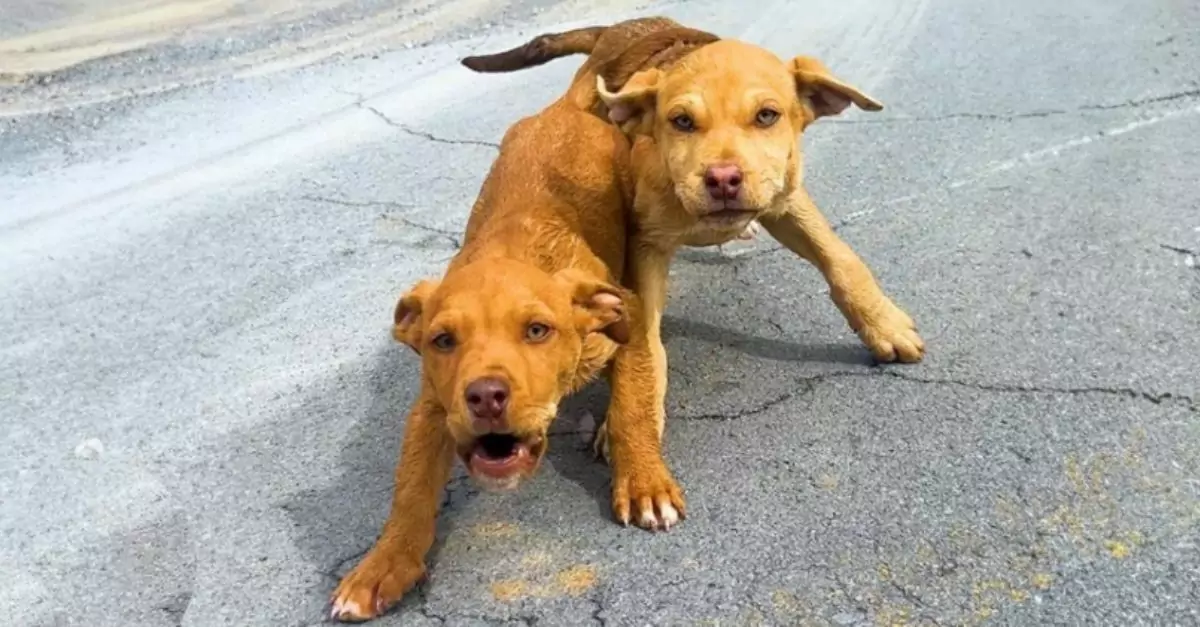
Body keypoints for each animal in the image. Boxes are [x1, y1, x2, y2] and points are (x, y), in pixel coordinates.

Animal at [328, 42, 686, 619]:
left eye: (538, 330)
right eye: (442, 341)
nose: (486, 396)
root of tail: (566, 106)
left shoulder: (623, 329)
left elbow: (632, 409)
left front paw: (644, 483)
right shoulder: (433, 405)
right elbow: (410, 488)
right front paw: (383, 564)